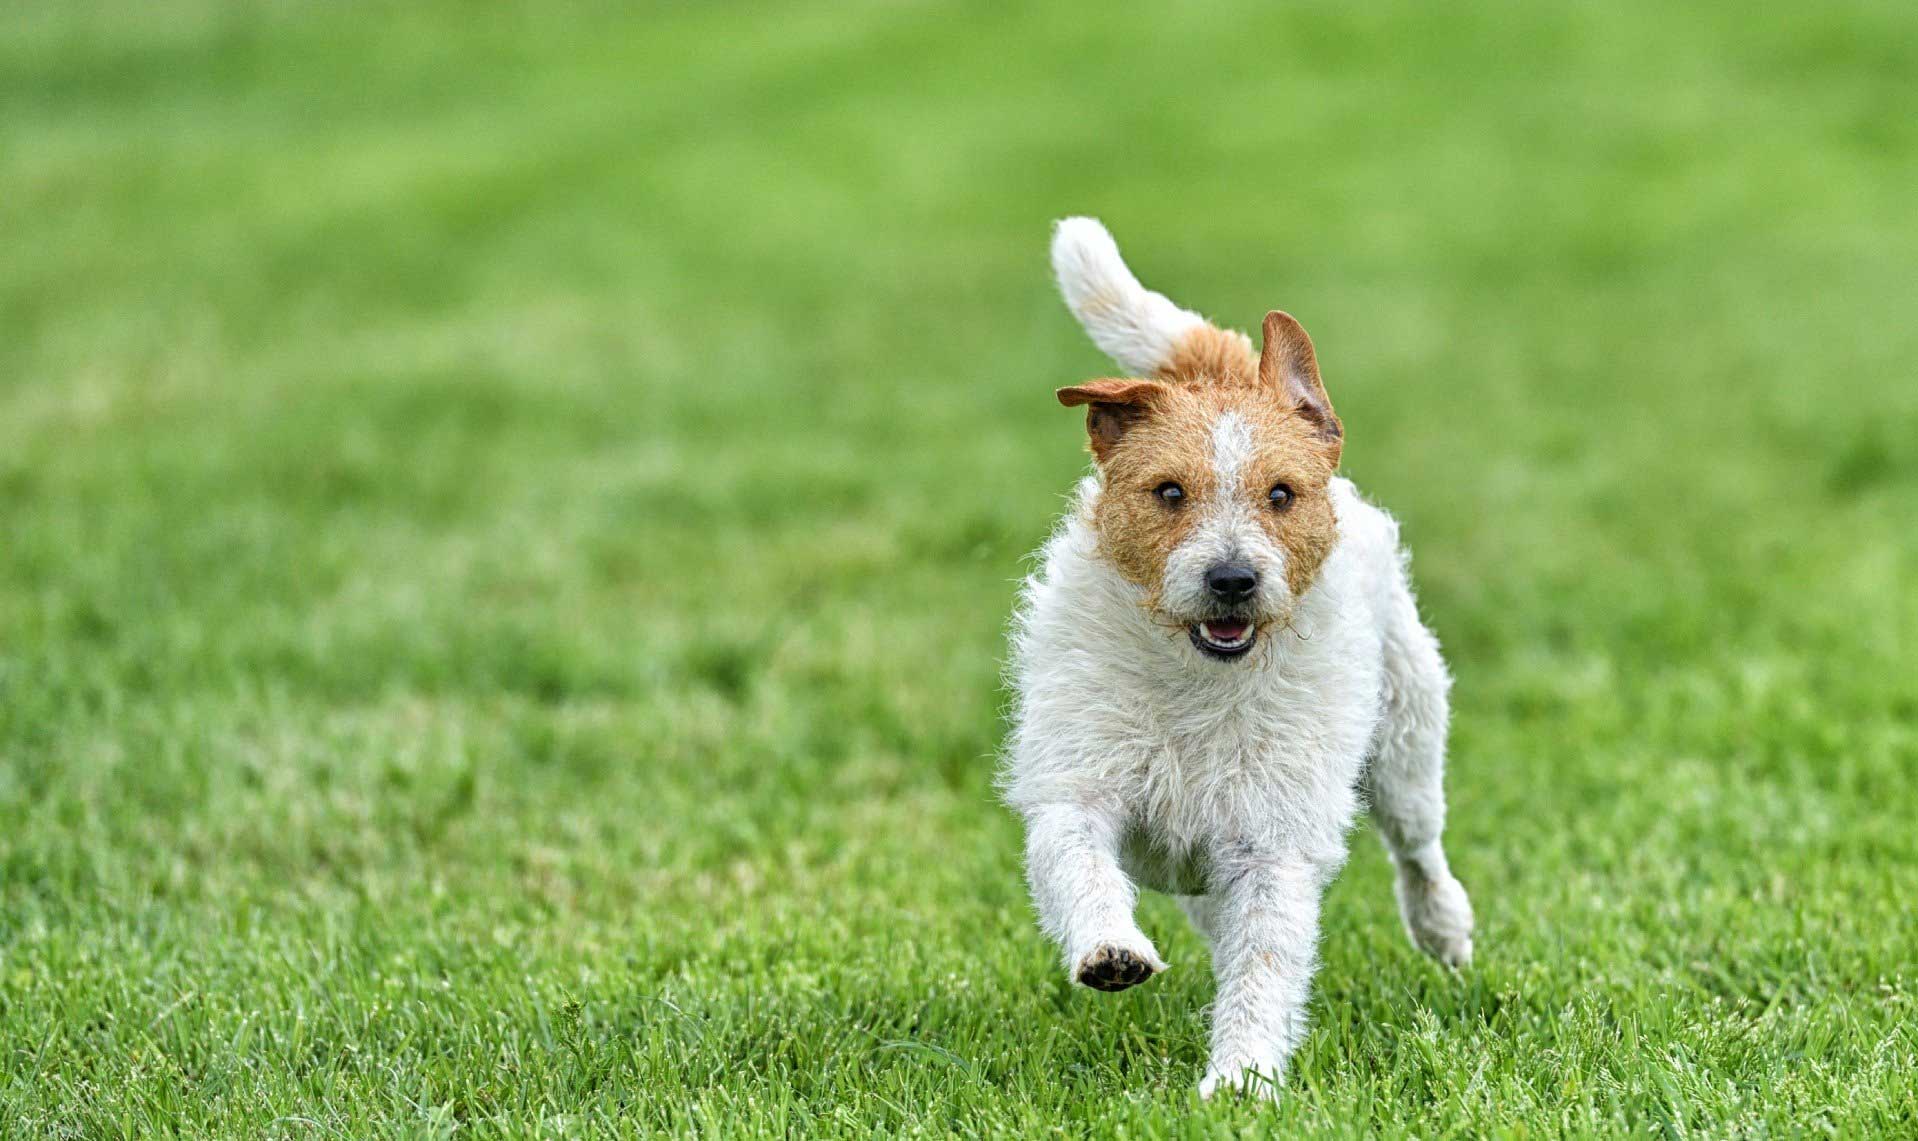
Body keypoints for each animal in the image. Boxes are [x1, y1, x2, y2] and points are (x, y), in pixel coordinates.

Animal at [997, 218, 1473, 1104]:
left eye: (1281, 494)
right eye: (1168, 492)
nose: (1231, 578)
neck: (1198, 682)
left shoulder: (1271, 844)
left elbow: (1265, 962)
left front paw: (1242, 1080)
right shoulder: (1078, 787)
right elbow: (1080, 864)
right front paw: (1111, 950)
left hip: (1406, 742)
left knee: (1419, 846)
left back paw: (1445, 927)